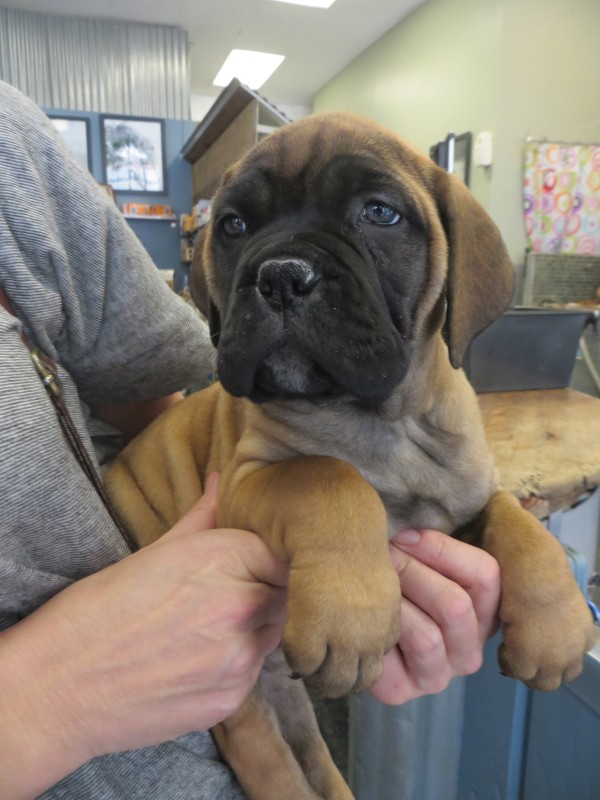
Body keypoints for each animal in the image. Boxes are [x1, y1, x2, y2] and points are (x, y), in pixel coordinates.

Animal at [104, 112, 596, 800]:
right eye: (233, 227)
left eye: (380, 214)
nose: (281, 275)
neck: (381, 420)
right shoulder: (245, 482)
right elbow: (329, 477)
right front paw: (351, 614)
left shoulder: (468, 496)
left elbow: (520, 523)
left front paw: (558, 627)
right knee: (265, 755)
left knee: (308, 754)